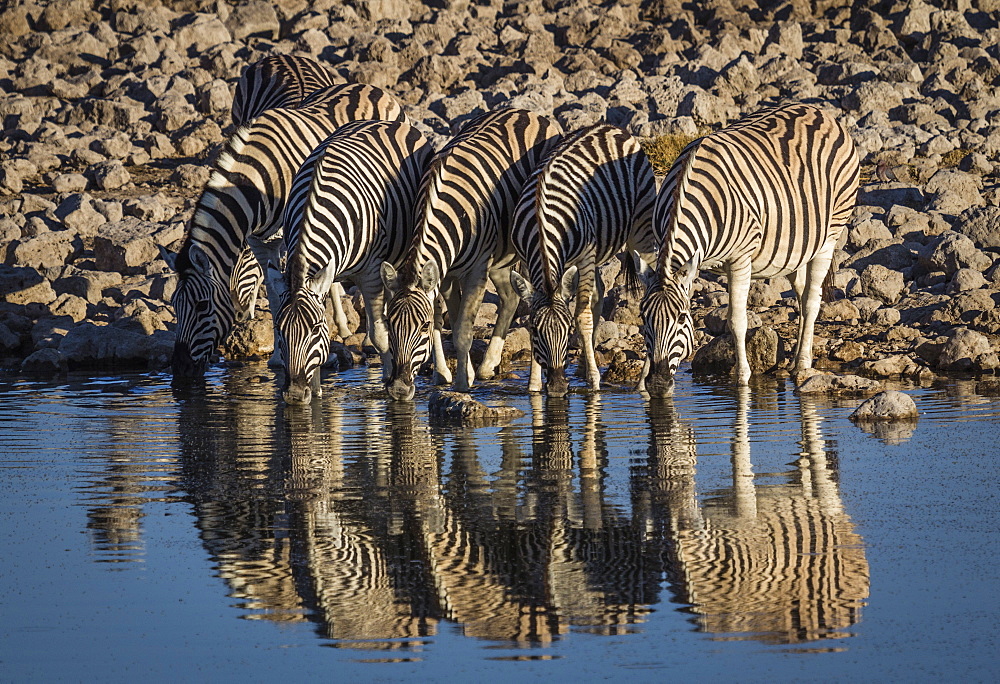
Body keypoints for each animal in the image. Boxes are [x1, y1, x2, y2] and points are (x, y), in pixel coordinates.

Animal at [160, 84, 406, 380]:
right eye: (174, 305)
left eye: (202, 306)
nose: (181, 370)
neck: (260, 178)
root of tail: (370, 86)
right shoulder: (259, 241)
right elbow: (276, 296)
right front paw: (279, 356)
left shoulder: (285, 238)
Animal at [268, 119, 432, 404]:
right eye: (279, 330)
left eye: (314, 329)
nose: (294, 394)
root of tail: (384, 122)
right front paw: (316, 392)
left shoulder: (371, 272)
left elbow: (380, 335)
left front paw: (390, 383)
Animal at [378, 107, 564, 400]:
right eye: (390, 323)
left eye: (422, 326)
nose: (398, 389)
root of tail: (526, 111)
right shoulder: (446, 274)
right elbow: (450, 322)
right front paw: (461, 374)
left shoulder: (476, 269)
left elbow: (462, 332)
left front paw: (462, 385)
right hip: (500, 257)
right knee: (510, 297)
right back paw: (488, 365)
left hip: (526, 243)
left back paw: (533, 383)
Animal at [512, 124, 660, 396]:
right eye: (536, 331)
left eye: (567, 330)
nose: (558, 387)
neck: (540, 224)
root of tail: (610, 127)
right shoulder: (526, 260)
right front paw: (534, 384)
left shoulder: (586, 255)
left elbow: (582, 316)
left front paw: (593, 381)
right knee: (599, 293)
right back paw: (582, 364)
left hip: (640, 230)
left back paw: (642, 379)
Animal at [632, 101, 860, 396]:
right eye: (643, 317)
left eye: (682, 318)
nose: (659, 384)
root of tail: (818, 111)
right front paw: (641, 384)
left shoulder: (740, 258)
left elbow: (736, 321)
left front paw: (742, 378)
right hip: (795, 247)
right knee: (801, 293)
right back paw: (797, 358)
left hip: (831, 233)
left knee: (812, 300)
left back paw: (802, 364)